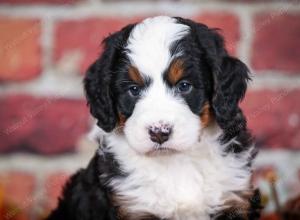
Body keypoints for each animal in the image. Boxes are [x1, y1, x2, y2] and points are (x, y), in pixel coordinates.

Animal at [47, 16, 260, 219]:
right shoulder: (132, 206)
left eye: (184, 86)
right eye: (133, 89)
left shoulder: (234, 198)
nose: (159, 133)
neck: (176, 163)